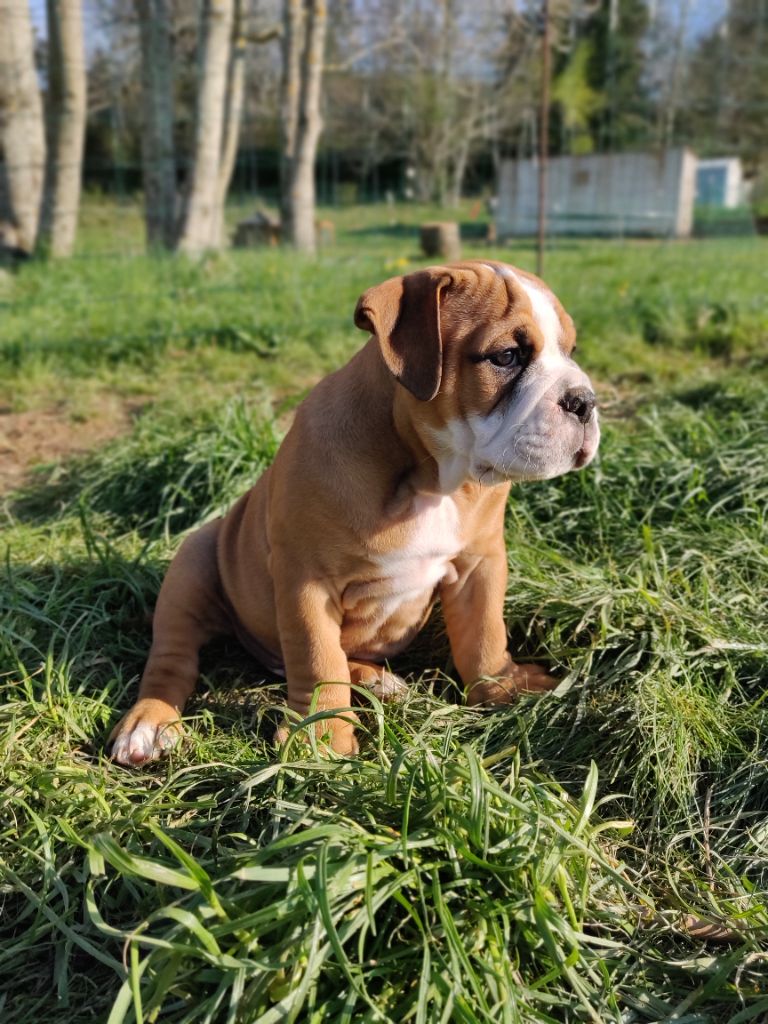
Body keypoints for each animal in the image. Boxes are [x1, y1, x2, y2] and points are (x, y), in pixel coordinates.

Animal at [109, 261, 599, 763]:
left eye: (571, 350)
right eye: (506, 356)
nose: (584, 401)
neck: (428, 478)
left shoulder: (478, 564)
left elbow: (485, 634)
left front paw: (505, 687)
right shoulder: (306, 582)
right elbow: (318, 659)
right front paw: (322, 739)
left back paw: (378, 682)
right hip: (192, 564)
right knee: (173, 657)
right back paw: (150, 723)